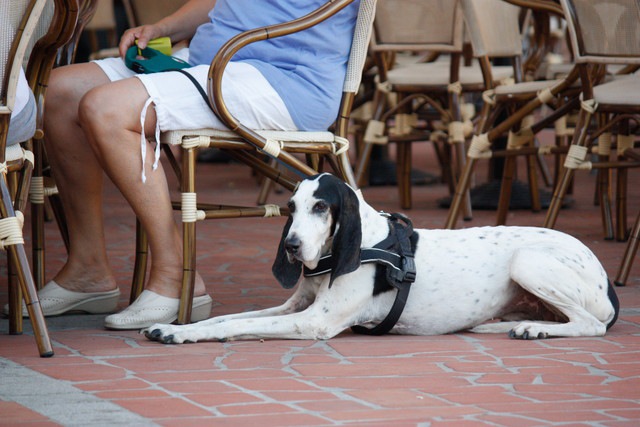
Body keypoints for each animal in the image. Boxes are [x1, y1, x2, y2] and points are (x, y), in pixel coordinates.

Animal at [142, 174, 616, 344]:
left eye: (321, 207)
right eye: (291, 207)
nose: (292, 246)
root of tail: (606, 279)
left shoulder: (312, 322)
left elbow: (233, 326)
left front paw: (181, 335)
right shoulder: (294, 306)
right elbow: (224, 318)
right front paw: (175, 326)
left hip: (527, 262)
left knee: (589, 325)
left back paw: (535, 329)